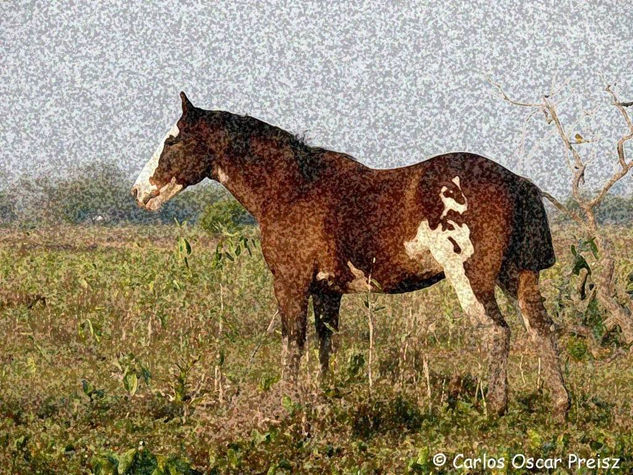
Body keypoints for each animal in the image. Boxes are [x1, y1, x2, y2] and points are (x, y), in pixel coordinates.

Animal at [132, 91, 568, 418]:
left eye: (172, 140)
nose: (139, 192)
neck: (292, 187)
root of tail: (516, 180)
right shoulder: (327, 290)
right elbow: (325, 343)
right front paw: (325, 397)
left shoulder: (290, 284)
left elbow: (294, 342)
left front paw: (287, 403)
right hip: (516, 276)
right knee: (540, 329)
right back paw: (560, 403)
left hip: (471, 279)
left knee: (497, 332)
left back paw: (495, 406)